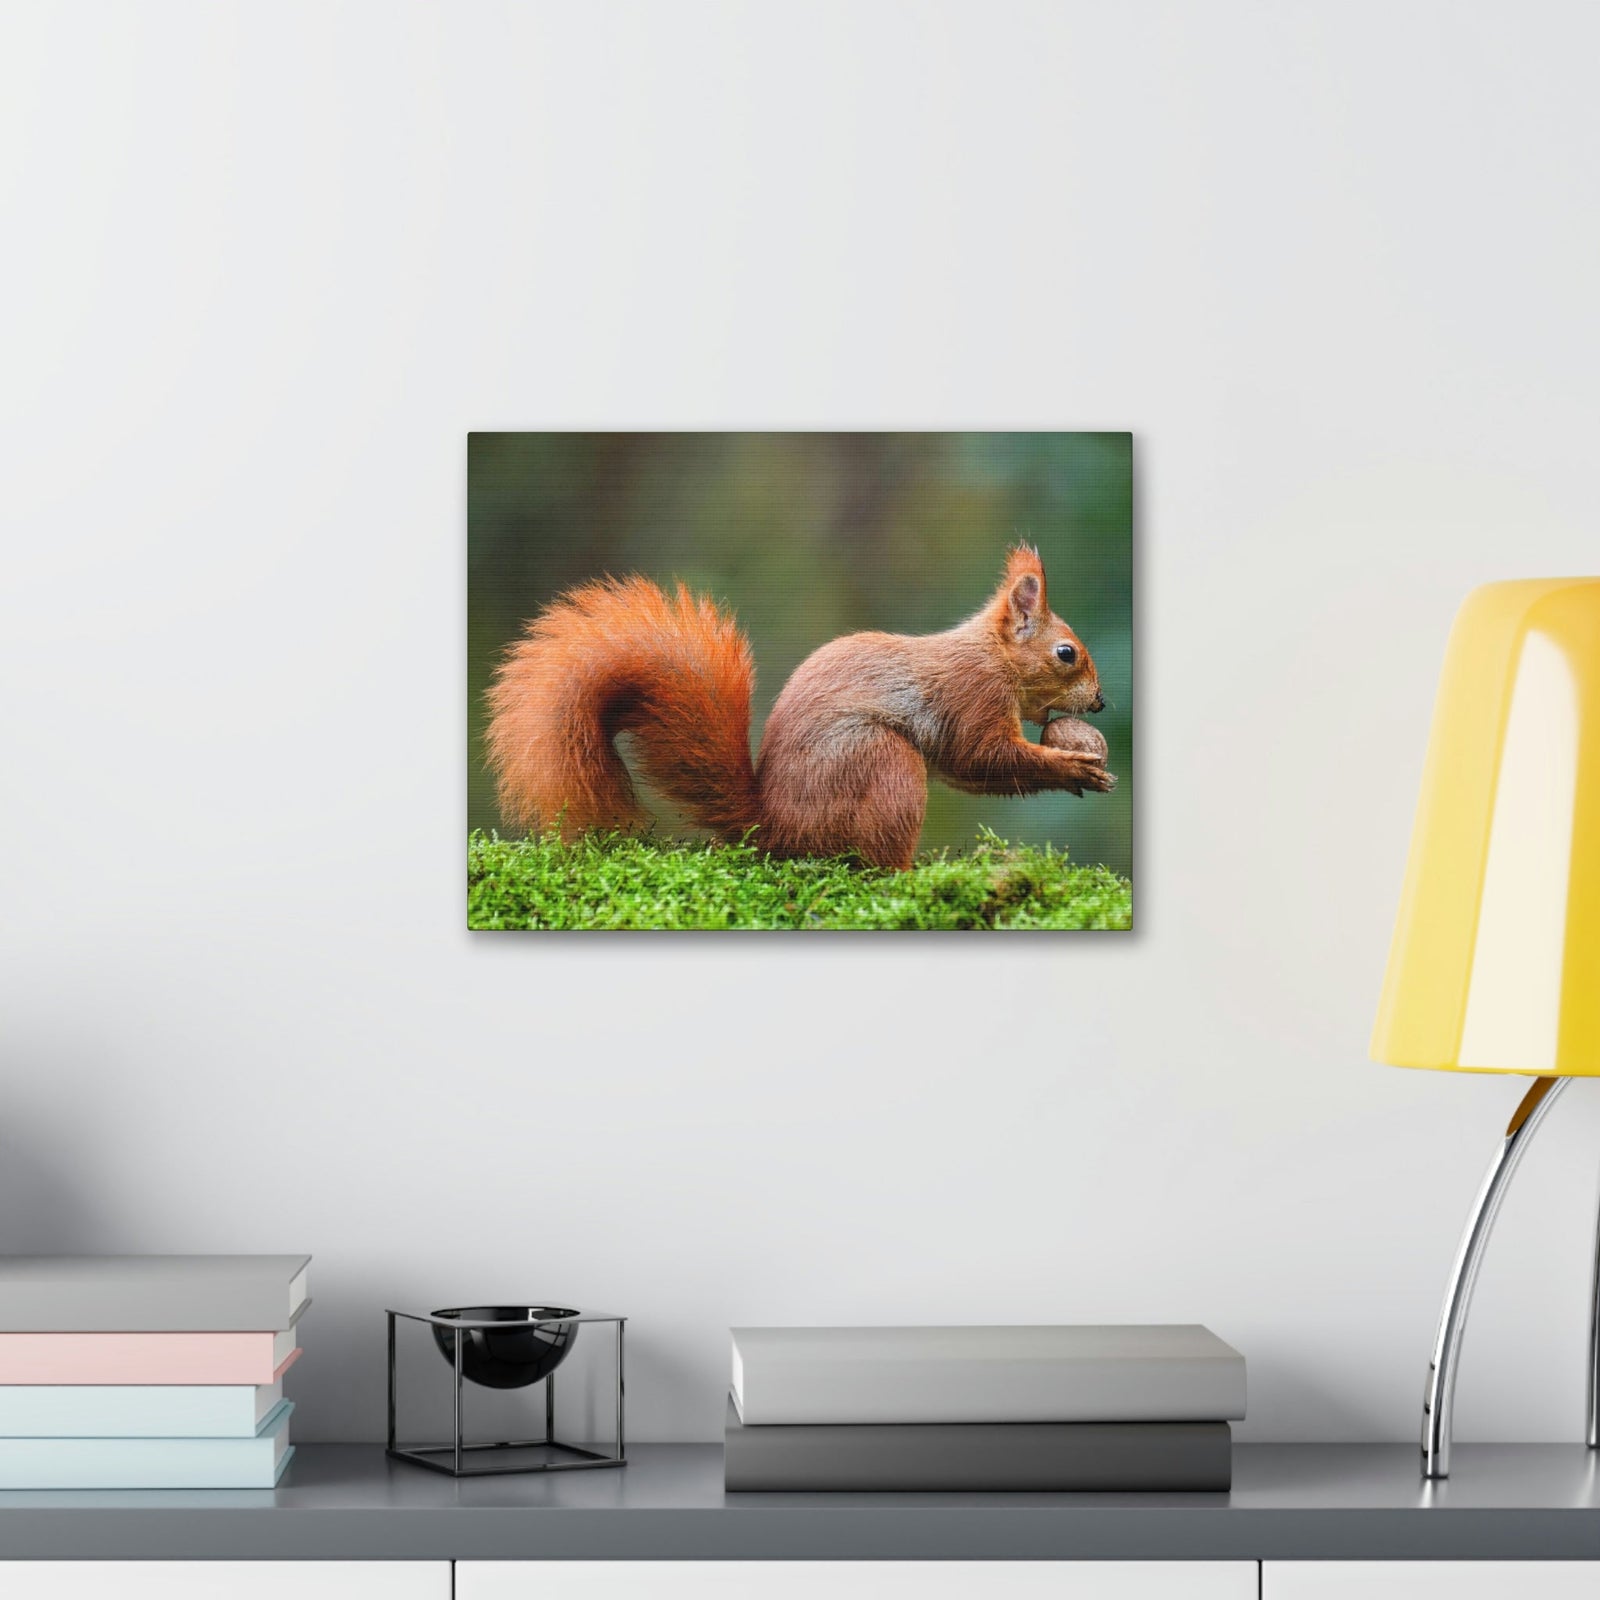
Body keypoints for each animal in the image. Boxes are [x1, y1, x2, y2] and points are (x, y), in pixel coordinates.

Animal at [484, 545, 1113, 871]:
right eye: (1066, 653)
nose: (1103, 701)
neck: (992, 657)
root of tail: (774, 826)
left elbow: (973, 770)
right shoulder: (971, 697)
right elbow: (982, 757)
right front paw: (1072, 767)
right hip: (880, 762)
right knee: (874, 858)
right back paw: (906, 874)